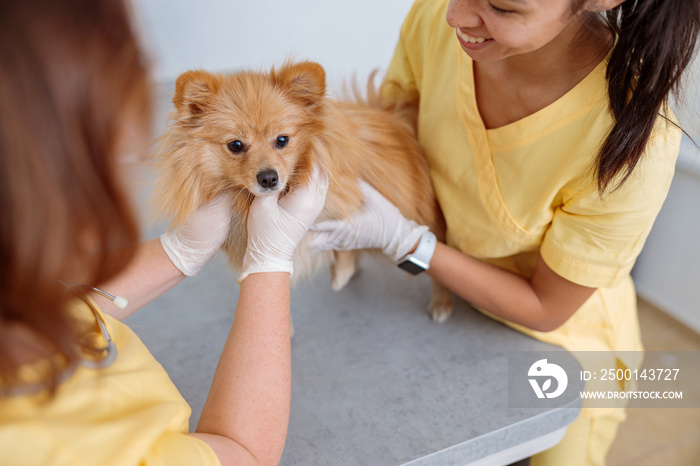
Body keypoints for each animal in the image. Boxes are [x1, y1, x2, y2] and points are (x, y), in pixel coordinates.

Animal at [153, 60, 454, 322]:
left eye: (282, 140)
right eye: (236, 145)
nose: (269, 178)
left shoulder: (346, 202)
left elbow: (346, 243)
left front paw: (341, 272)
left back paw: (441, 303)